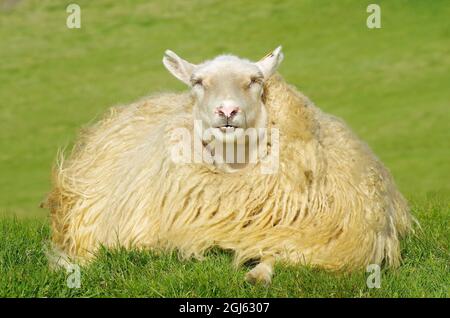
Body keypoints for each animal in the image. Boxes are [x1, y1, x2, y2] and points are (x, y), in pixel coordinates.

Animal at [44, 46, 414, 284]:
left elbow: (283, 253)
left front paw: (258, 273)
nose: (226, 111)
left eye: (255, 80)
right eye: (197, 82)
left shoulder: (328, 240)